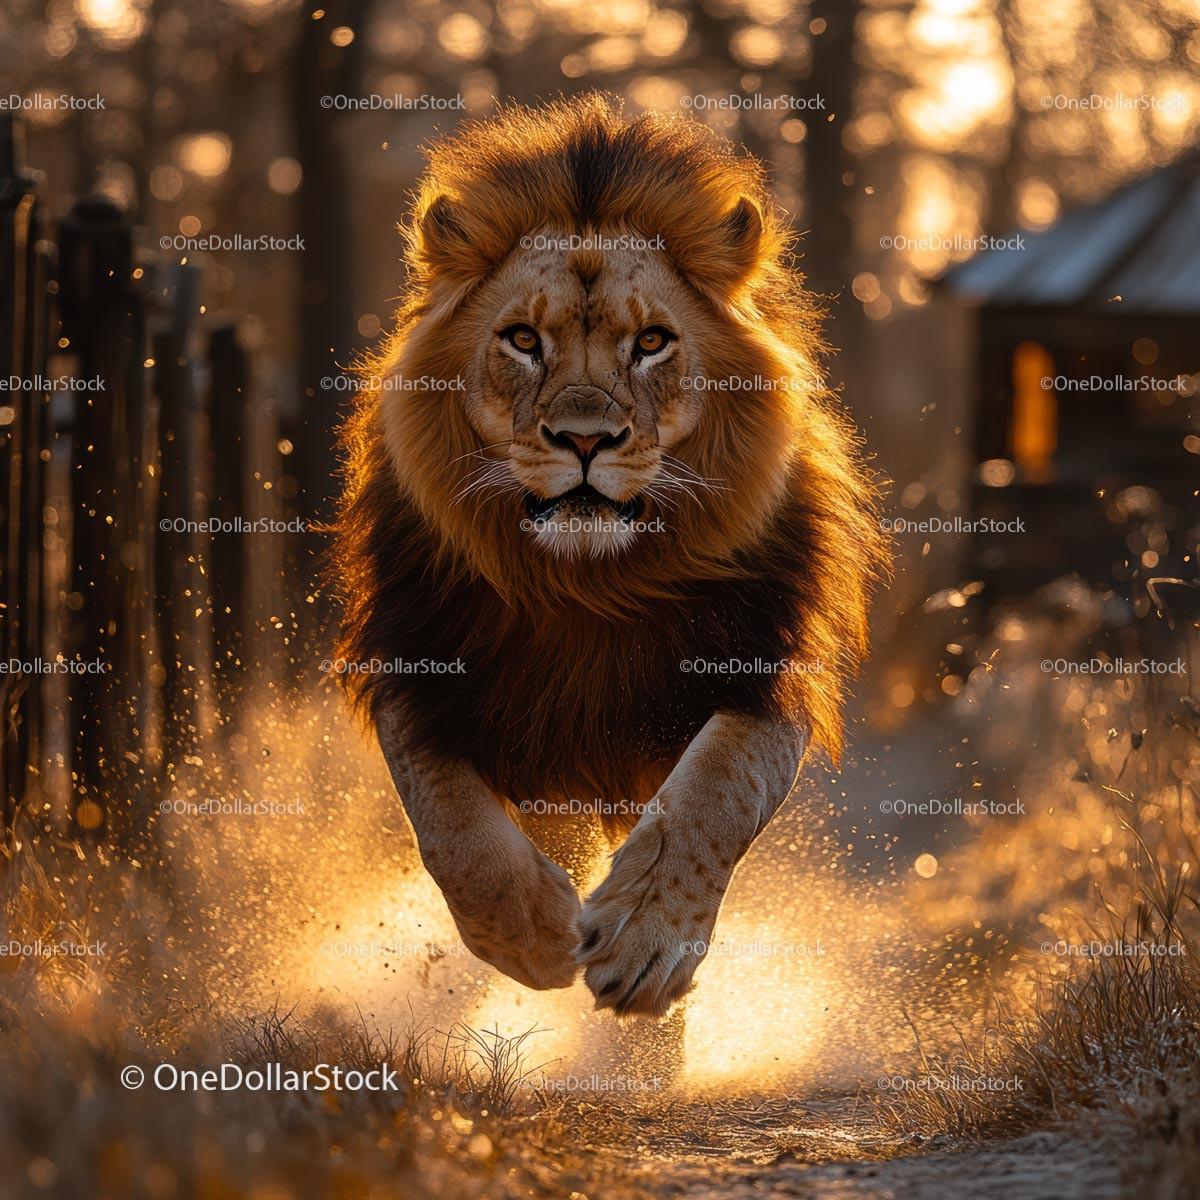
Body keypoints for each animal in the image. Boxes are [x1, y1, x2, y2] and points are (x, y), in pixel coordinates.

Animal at [331, 94, 886, 1018]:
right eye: (522, 340)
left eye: (652, 342)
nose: (585, 439)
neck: (587, 587)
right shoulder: (421, 667)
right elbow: (450, 824)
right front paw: (533, 935)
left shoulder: (762, 668)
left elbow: (712, 794)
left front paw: (644, 941)